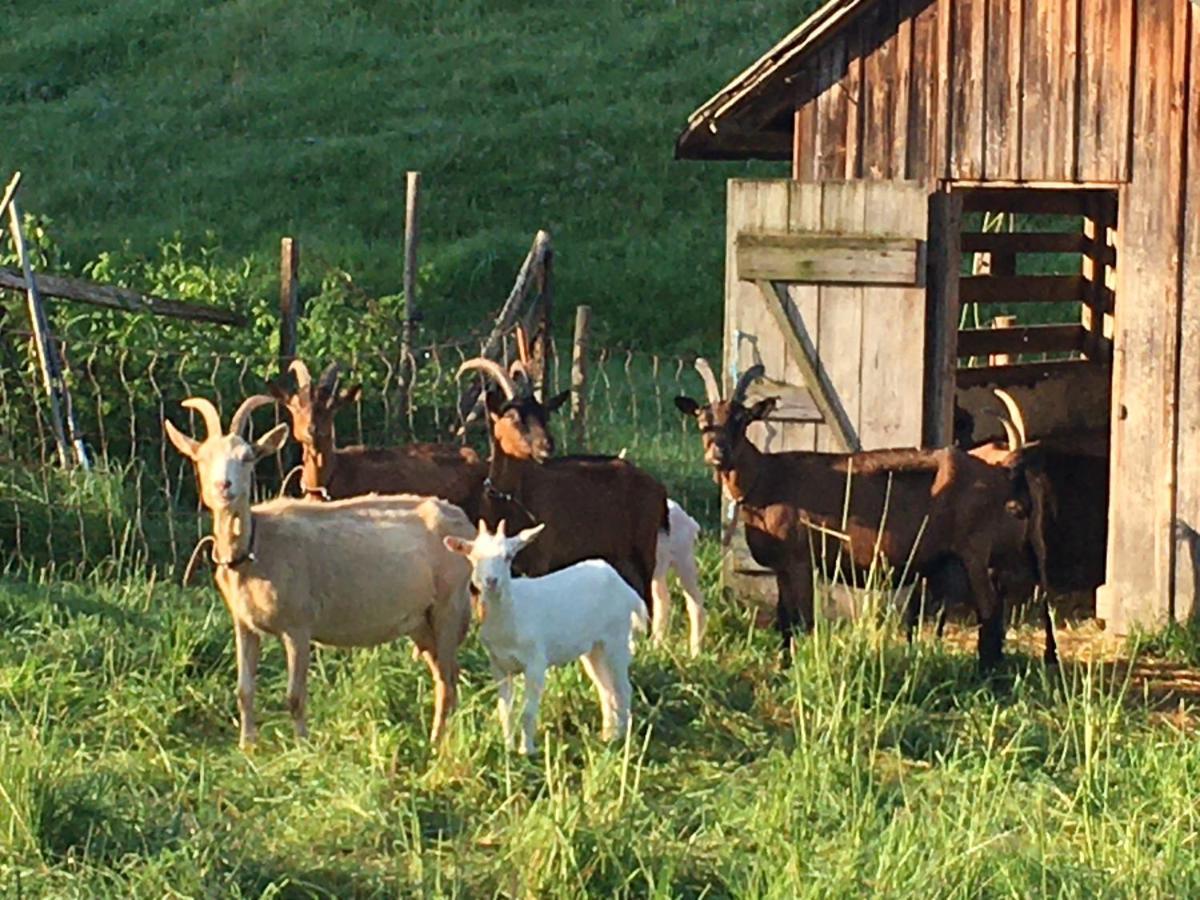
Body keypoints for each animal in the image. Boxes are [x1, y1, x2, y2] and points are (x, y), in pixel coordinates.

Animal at [165, 393, 472, 748]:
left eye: (247, 457)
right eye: (201, 458)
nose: (223, 486)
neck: (257, 546)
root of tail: (464, 523)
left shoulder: (298, 626)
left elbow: (295, 696)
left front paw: (301, 747)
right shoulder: (244, 624)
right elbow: (244, 690)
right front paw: (248, 745)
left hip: (449, 606)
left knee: (449, 677)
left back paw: (439, 743)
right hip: (421, 620)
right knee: (444, 676)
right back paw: (441, 738)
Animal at [453, 357, 672, 614]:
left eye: (545, 415)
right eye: (513, 416)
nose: (547, 446)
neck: (508, 503)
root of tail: (657, 486)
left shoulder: (539, 561)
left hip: (643, 547)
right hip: (617, 555)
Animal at [681, 360, 1056, 672]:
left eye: (742, 420)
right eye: (703, 422)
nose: (718, 453)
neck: (768, 478)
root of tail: (1002, 471)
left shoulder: (801, 559)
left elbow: (803, 621)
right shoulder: (782, 567)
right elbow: (784, 621)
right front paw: (784, 667)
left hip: (975, 551)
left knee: (990, 610)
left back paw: (988, 676)